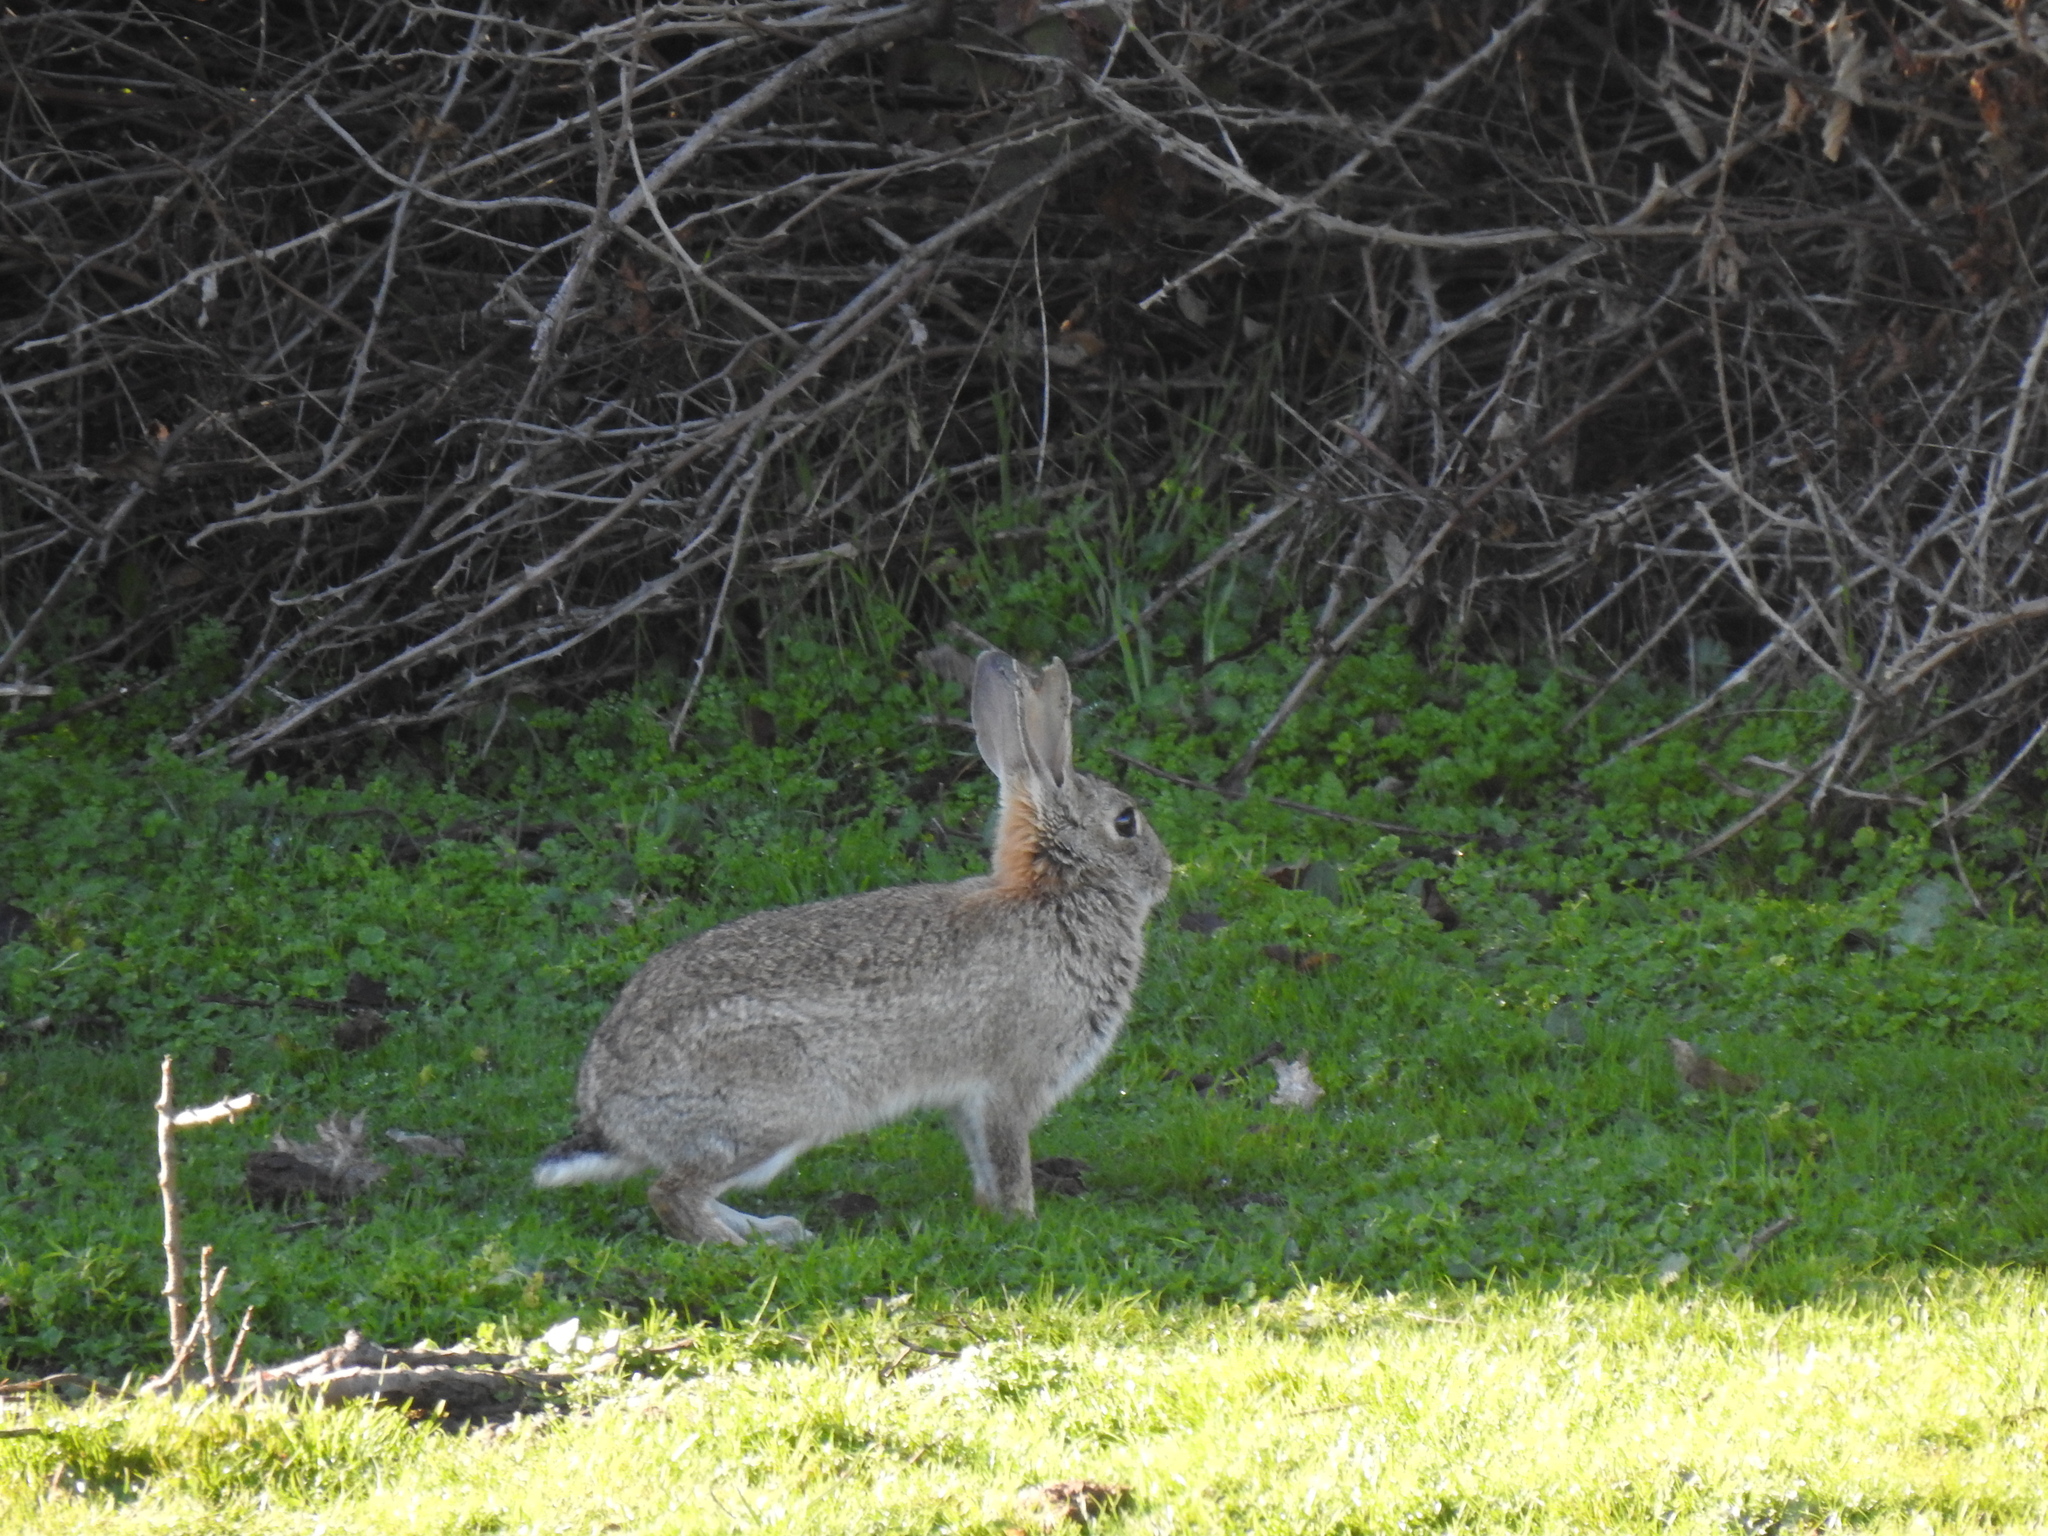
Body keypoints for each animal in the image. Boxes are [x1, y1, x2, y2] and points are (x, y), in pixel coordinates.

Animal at [532, 655, 1171, 1245]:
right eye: (1126, 822)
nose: (1166, 874)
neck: (1057, 894)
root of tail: (610, 1118)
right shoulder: (1008, 1086)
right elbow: (1009, 1160)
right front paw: (1023, 1221)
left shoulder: (967, 1099)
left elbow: (982, 1163)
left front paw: (993, 1214)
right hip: (774, 1113)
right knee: (671, 1192)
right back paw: (739, 1247)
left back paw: (772, 1230)